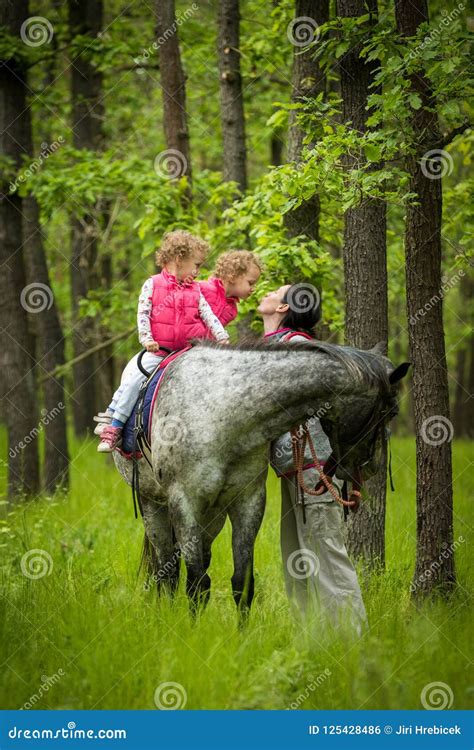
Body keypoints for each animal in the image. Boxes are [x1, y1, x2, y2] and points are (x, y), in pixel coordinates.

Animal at [113, 344, 410, 612]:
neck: (222, 413)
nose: (372, 466)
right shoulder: (184, 503)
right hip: (154, 506)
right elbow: (196, 584)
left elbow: (242, 584)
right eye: (391, 411)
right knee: (168, 573)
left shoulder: (248, 501)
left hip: (212, 516)